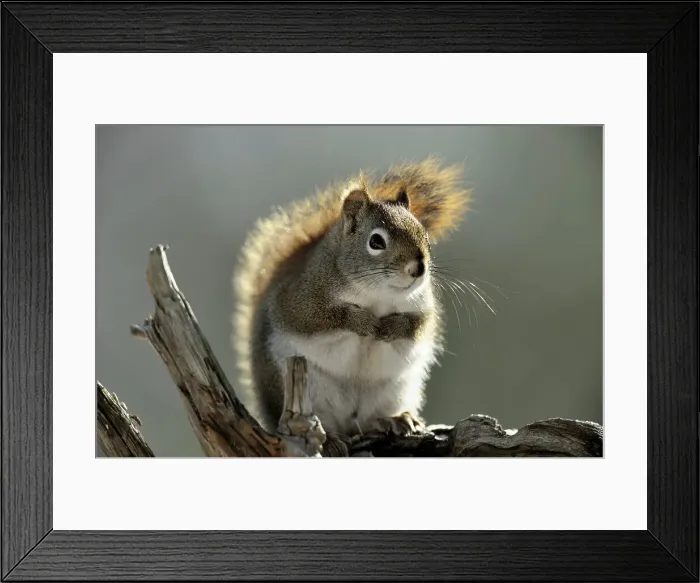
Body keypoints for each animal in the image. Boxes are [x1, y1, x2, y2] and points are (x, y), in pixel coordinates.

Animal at [231, 156, 472, 443]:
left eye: (425, 236)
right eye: (376, 242)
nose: (418, 269)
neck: (378, 294)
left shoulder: (422, 305)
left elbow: (419, 325)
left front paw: (392, 327)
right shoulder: (299, 299)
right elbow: (319, 317)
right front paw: (362, 321)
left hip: (396, 390)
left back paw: (396, 419)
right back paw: (333, 438)